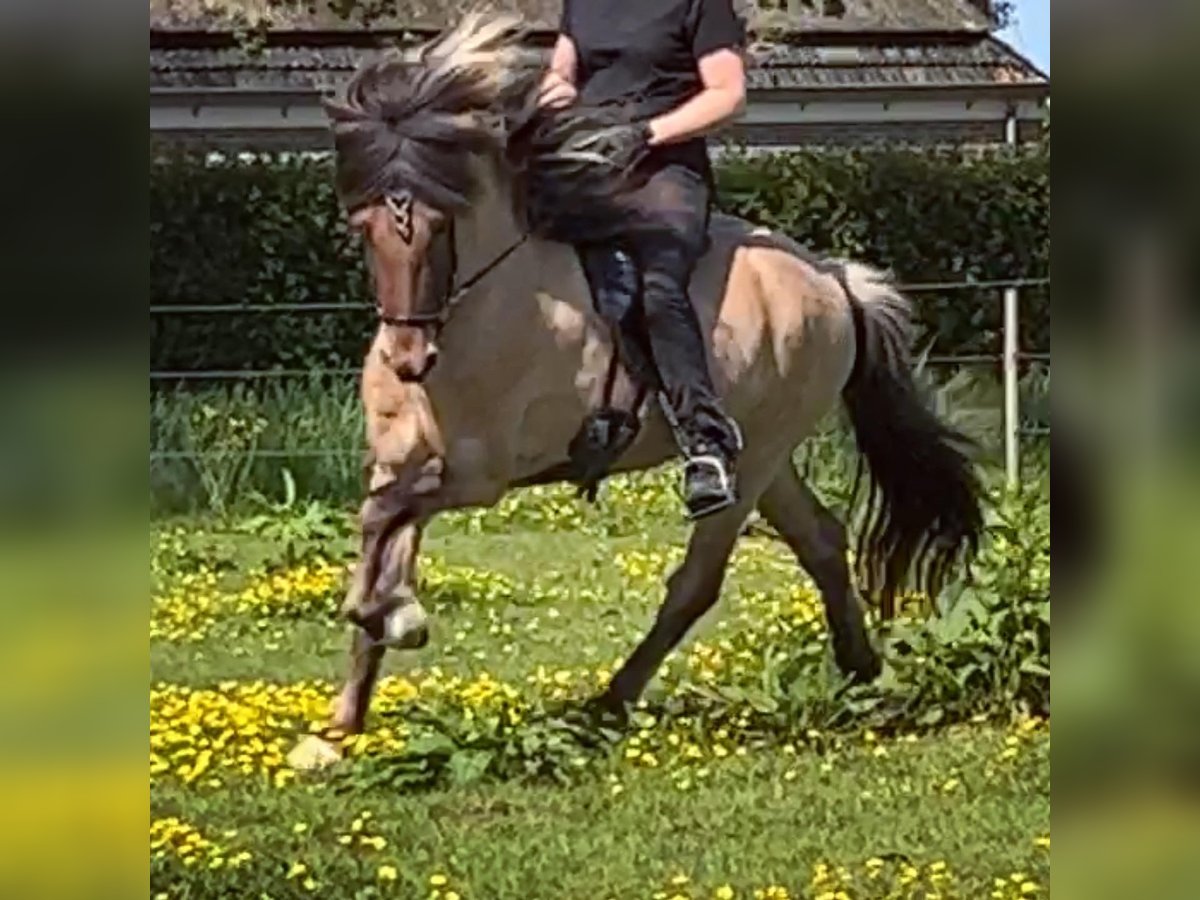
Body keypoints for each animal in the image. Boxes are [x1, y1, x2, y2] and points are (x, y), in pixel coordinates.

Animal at [285, 14, 979, 768]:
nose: (408, 358)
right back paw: (861, 674)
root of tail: (831, 279)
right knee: (821, 541)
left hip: (752, 463)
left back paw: (609, 703)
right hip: (770, 458)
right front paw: (338, 726)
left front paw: (391, 616)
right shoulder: (403, 459)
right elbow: (379, 532)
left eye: (441, 225)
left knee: (698, 582)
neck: (484, 314)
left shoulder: (479, 475)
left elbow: (380, 532)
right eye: (364, 227)